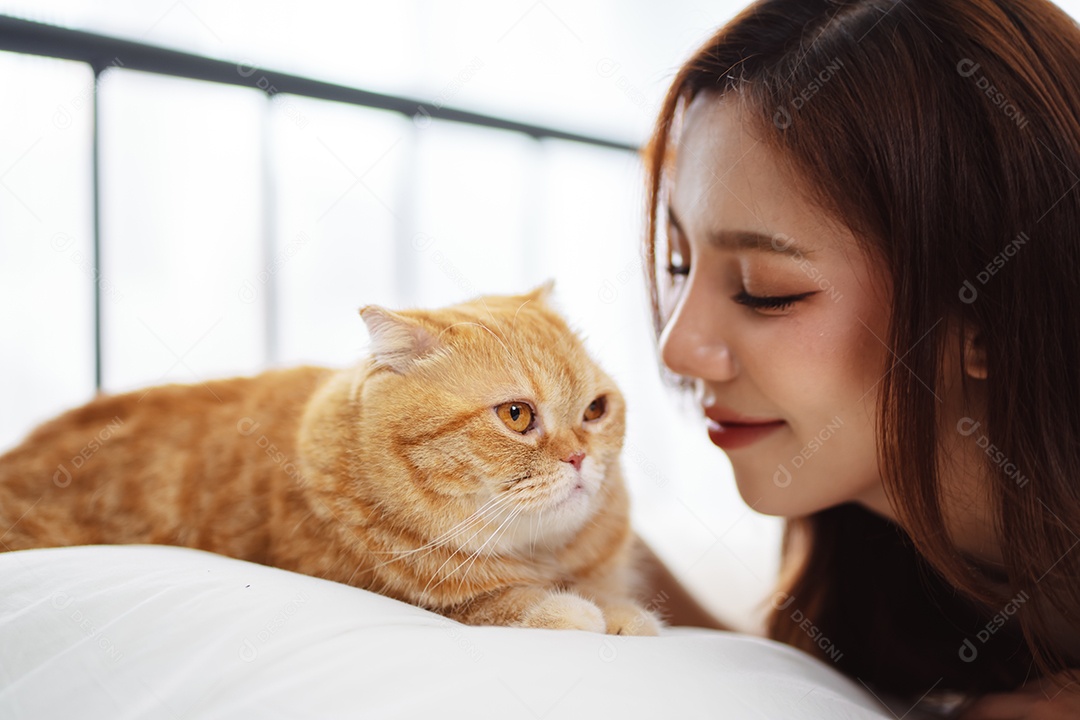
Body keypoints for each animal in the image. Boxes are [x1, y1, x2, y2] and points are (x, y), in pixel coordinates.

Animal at [0, 284, 656, 634]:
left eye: (596, 410)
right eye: (517, 415)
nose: (580, 458)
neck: (546, 555)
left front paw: (621, 611)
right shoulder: (408, 593)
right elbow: (497, 603)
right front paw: (578, 611)